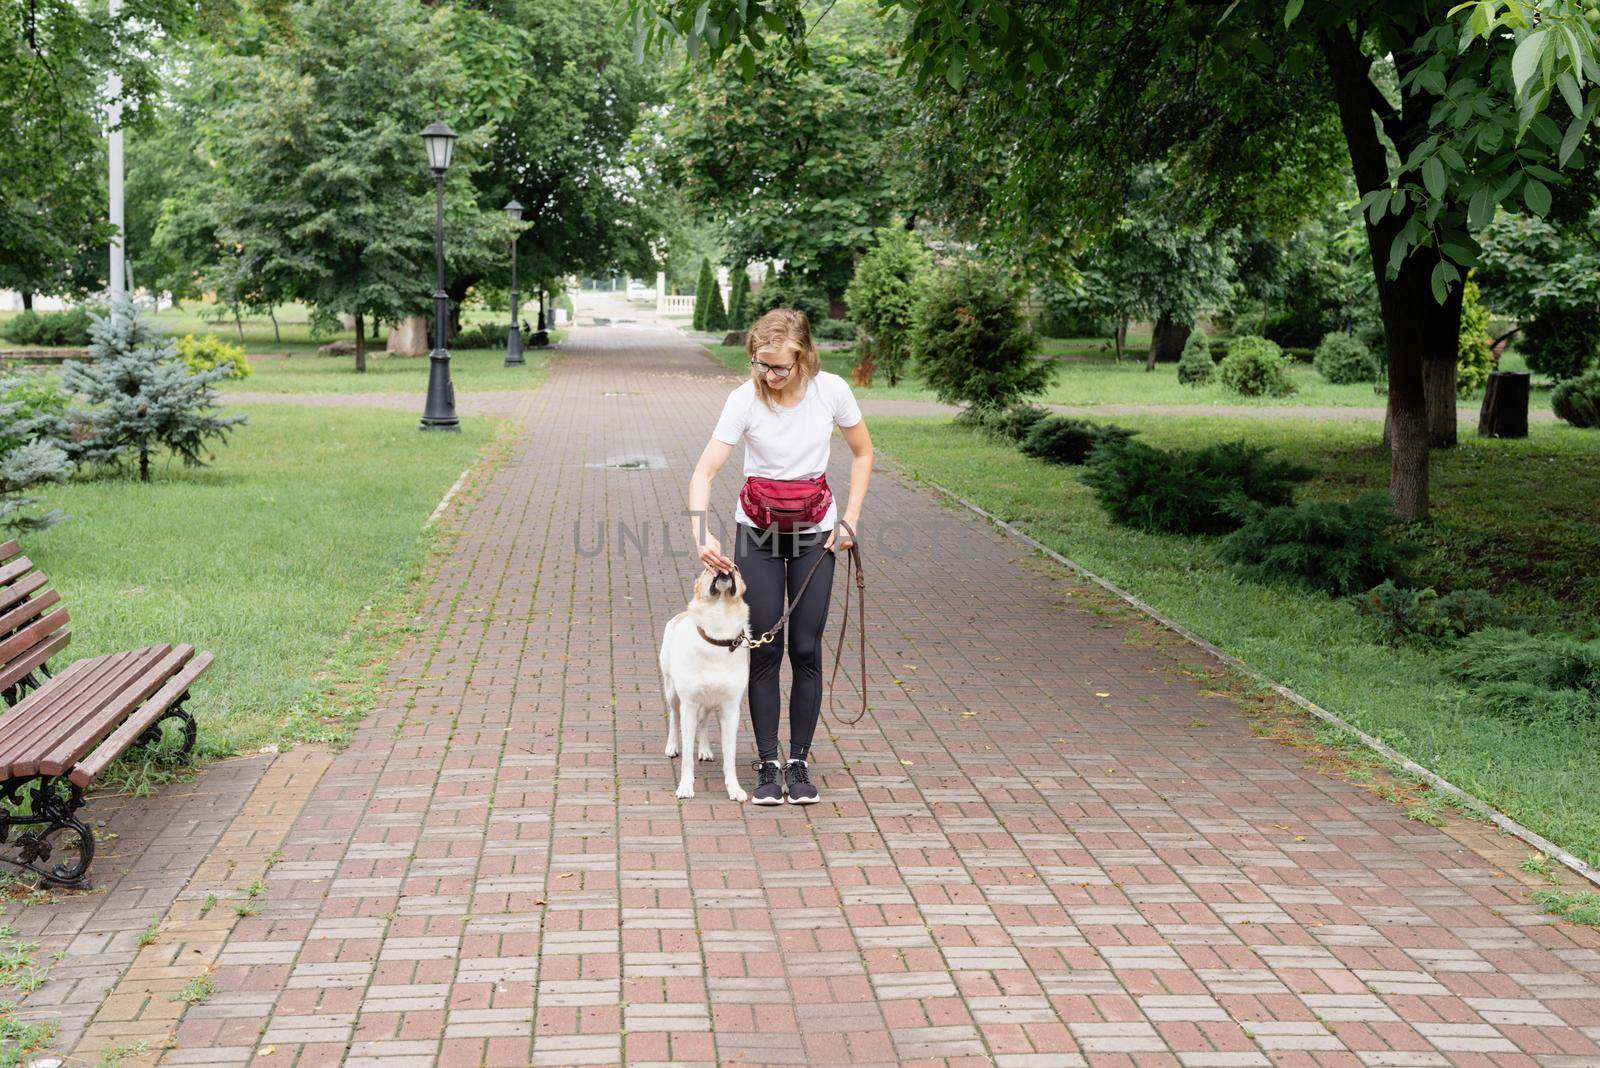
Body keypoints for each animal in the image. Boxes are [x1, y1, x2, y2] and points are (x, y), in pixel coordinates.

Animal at [656, 565, 748, 799]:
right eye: (709, 567)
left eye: (736, 568)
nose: (726, 565)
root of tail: (680, 615)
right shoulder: (689, 705)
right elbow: (687, 758)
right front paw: (685, 787)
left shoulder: (731, 710)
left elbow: (730, 758)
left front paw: (734, 789)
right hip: (672, 692)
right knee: (674, 717)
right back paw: (672, 746)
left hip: (708, 701)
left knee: (704, 721)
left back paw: (705, 750)